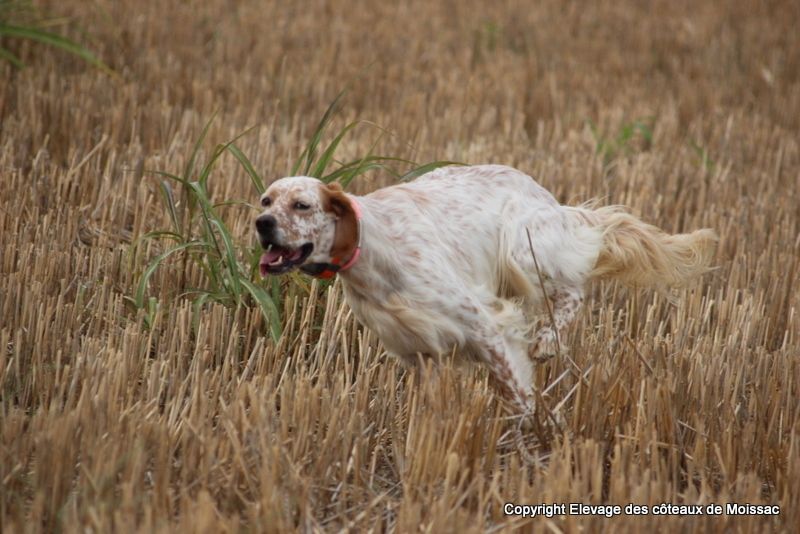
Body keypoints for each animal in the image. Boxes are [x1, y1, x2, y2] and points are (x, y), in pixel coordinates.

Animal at [253, 165, 716, 416]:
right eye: (266, 201)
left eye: (302, 205)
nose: (262, 224)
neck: (374, 250)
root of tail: (546, 195)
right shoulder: (419, 352)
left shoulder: (482, 326)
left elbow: (516, 392)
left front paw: (534, 440)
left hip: (524, 249)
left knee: (573, 290)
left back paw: (548, 340)